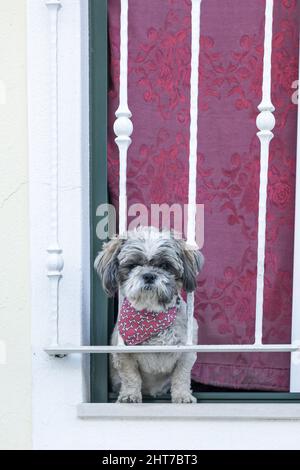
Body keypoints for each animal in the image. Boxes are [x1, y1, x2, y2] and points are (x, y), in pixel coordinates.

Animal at [94, 226, 204, 402]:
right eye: (133, 265)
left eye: (165, 266)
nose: (149, 275)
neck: (151, 315)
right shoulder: (124, 355)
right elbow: (131, 377)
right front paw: (130, 395)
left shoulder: (186, 352)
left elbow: (181, 377)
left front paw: (182, 396)